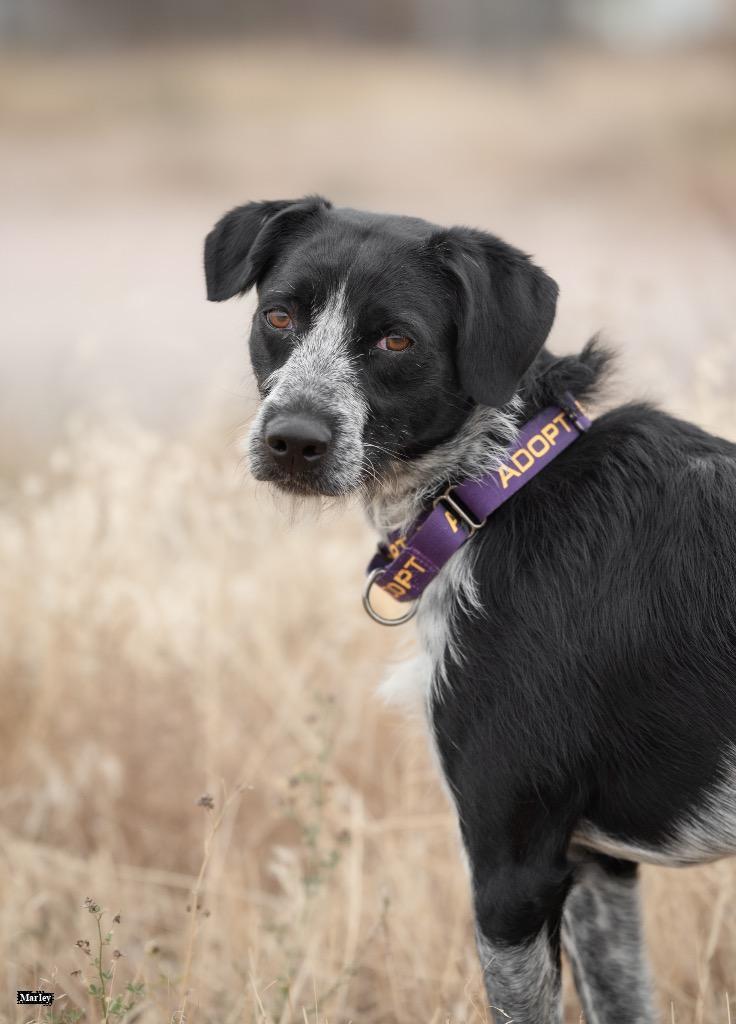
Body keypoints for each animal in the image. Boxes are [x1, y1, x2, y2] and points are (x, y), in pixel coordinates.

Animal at [202, 193, 736, 1024]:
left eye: (396, 339)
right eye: (281, 317)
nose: (293, 440)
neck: (492, 489)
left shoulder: (510, 869)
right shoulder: (597, 867)